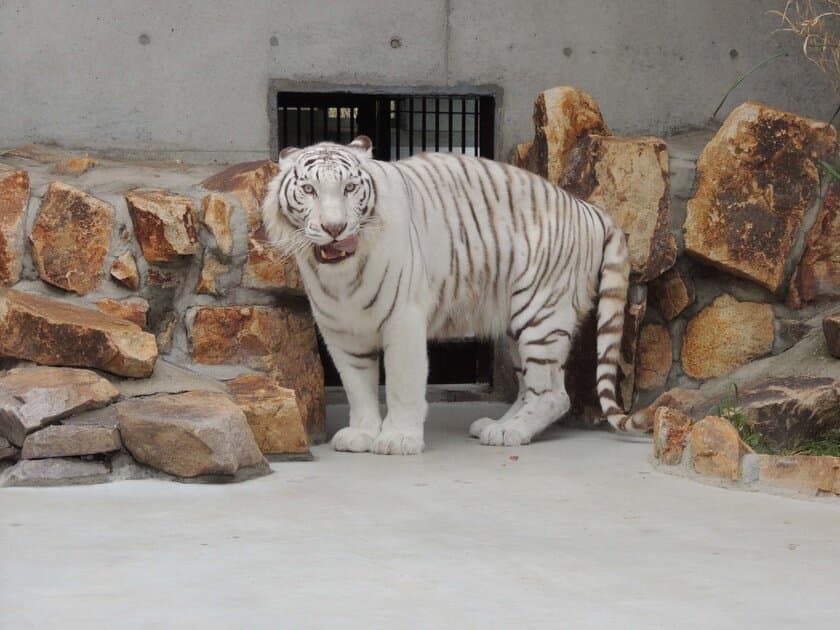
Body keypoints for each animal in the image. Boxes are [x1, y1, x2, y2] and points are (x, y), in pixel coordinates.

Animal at [262, 136, 644, 456]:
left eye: (350, 187)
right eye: (309, 189)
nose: (335, 228)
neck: (341, 277)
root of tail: (589, 209)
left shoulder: (403, 319)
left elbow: (402, 382)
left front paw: (399, 438)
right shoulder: (340, 330)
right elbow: (357, 386)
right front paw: (362, 434)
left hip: (540, 313)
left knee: (553, 395)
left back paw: (512, 433)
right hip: (515, 323)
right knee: (529, 387)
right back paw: (497, 425)